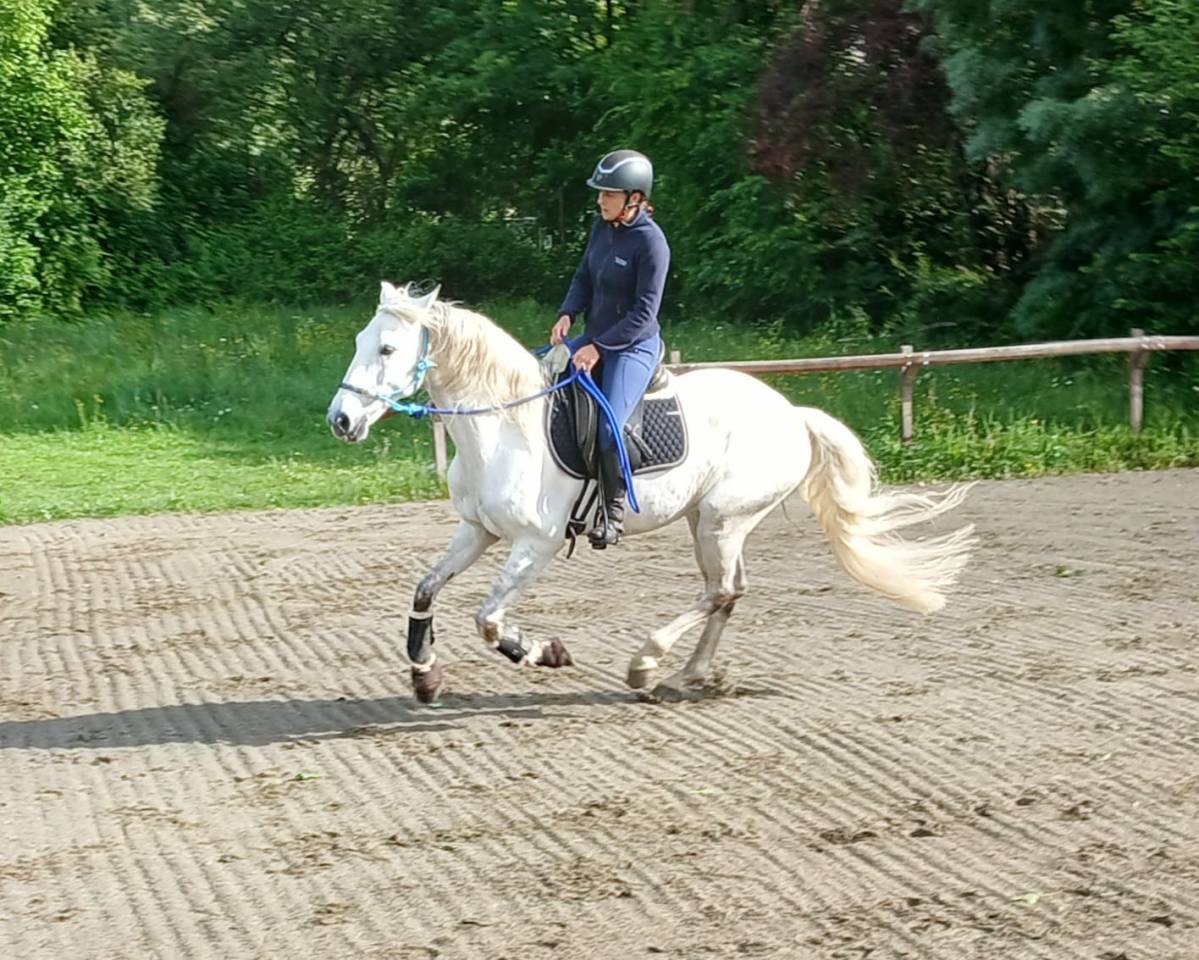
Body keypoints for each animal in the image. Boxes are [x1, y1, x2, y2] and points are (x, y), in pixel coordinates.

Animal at [327, 282, 975, 703]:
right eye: (357, 340)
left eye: (387, 349)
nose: (340, 421)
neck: (504, 427)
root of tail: (793, 414)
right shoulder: (476, 530)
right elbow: (425, 589)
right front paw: (425, 675)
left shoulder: (534, 545)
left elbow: (488, 620)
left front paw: (543, 652)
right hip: (706, 521)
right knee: (729, 591)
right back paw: (693, 675)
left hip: (722, 519)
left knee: (720, 592)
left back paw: (646, 665)